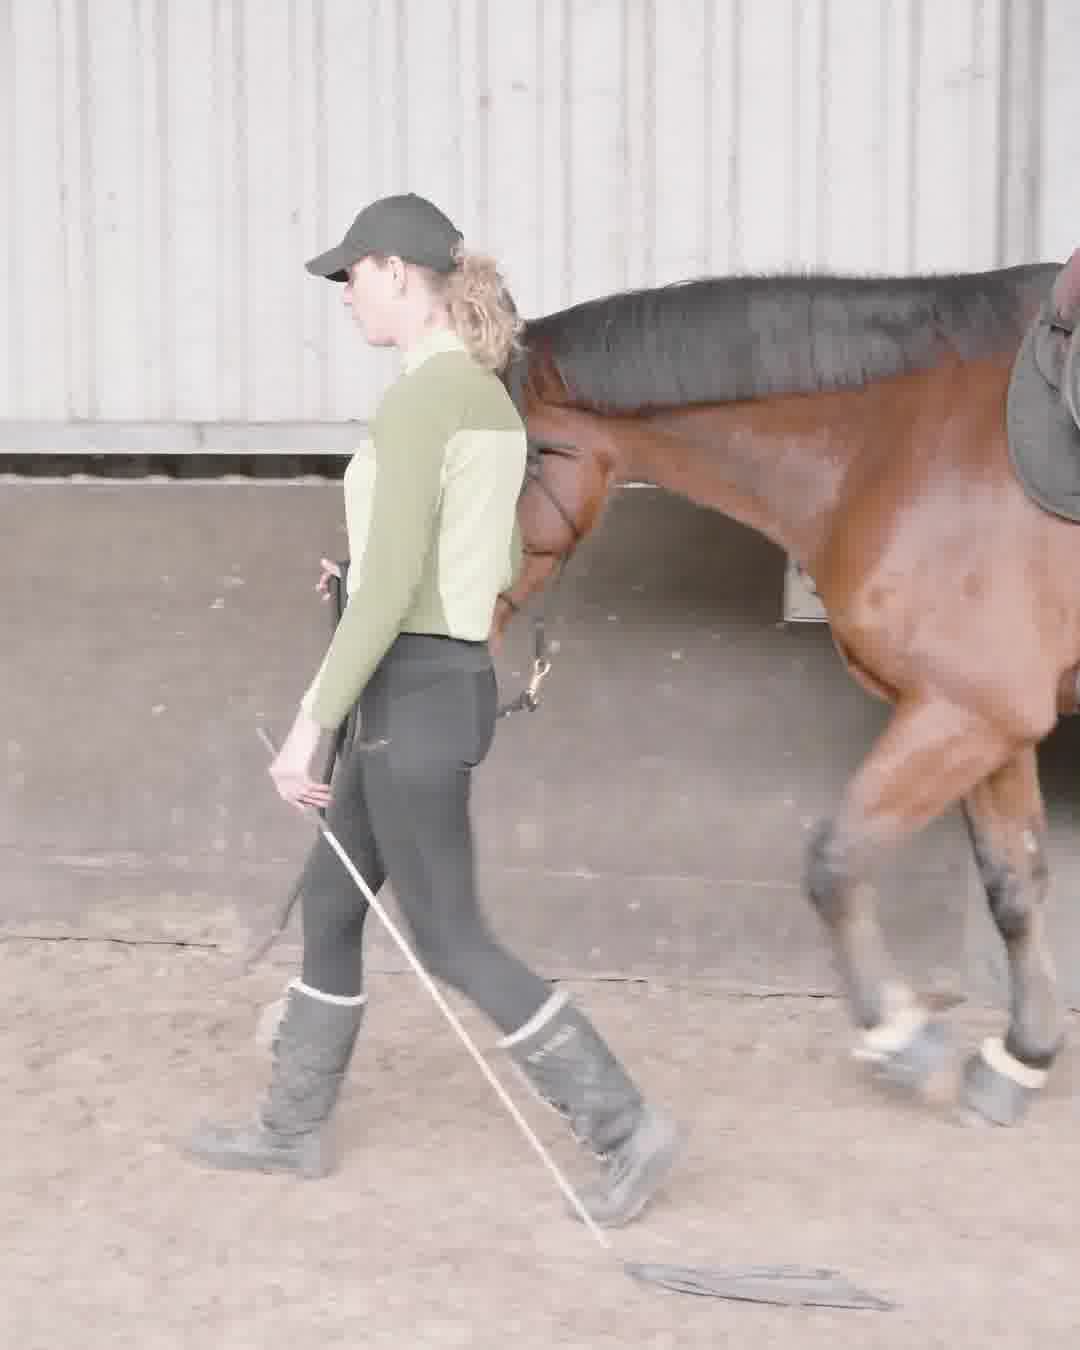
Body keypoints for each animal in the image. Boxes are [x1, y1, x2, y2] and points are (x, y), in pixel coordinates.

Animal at [495, 248, 1080, 1128]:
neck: (900, 442)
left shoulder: (965, 712)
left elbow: (834, 861)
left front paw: (903, 1039)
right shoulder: (992, 722)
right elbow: (1014, 885)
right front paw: (1023, 1056)